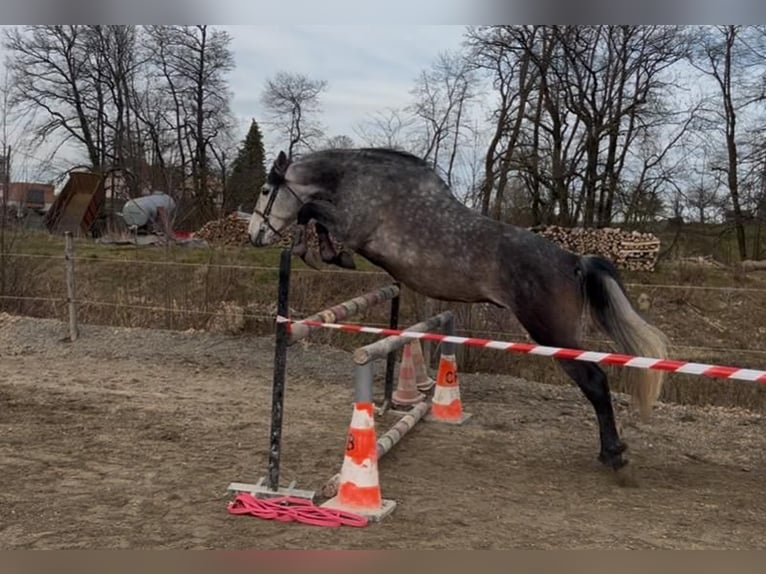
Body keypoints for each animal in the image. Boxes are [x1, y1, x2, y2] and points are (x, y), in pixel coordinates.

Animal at [248, 147, 669, 484]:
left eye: (266, 191)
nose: (254, 236)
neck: (362, 182)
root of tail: (573, 261)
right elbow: (312, 215)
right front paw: (315, 251)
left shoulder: (353, 227)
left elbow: (310, 211)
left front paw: (320, 253)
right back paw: (610, 453)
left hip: (551, 331)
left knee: (594, 380)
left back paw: (615, 457)